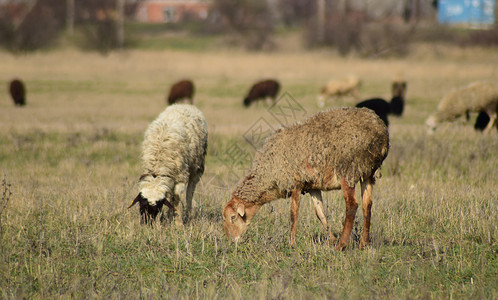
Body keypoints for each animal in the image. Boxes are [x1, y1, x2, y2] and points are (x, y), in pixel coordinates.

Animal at [222, 106, 390, 250]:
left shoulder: (295, 184)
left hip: (348, 171)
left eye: (232, 217)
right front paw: (331, 239)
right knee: (367, 205)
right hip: (368, 173)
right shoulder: (312, 187)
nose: (232, 241)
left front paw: (292, 243)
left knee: (352, 205)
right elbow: (320, 214)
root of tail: (379, 131)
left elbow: (293, 214)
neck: (269, 174)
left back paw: (341, 245)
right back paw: (363, 244)